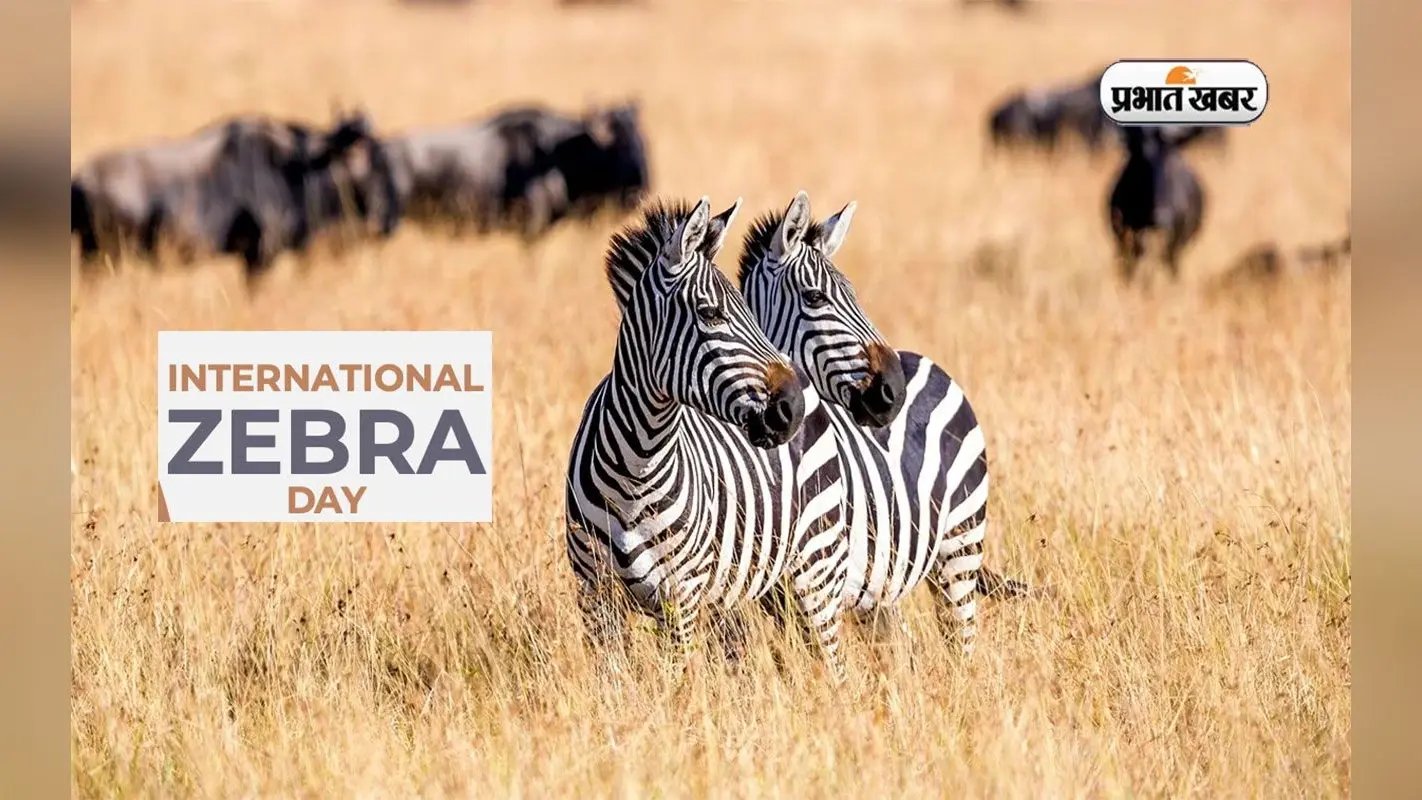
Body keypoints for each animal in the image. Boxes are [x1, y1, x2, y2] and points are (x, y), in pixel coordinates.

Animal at [564, 195, 851, 679]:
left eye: (746, 311)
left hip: (816, 565)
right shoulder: (595, 595)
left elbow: (676, 684)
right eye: (711, 313)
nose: (790, 407)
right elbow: (615, 684)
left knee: (833, 658)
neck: (636, 465)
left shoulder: (681, 596)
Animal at [737, 191, 1031, 656]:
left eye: (853, 293)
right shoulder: (774, 595)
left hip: (958, 546)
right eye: (815, 298)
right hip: (886, 582)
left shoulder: (824, 579)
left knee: (962, 643)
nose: (892, 388)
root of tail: (924, 361)